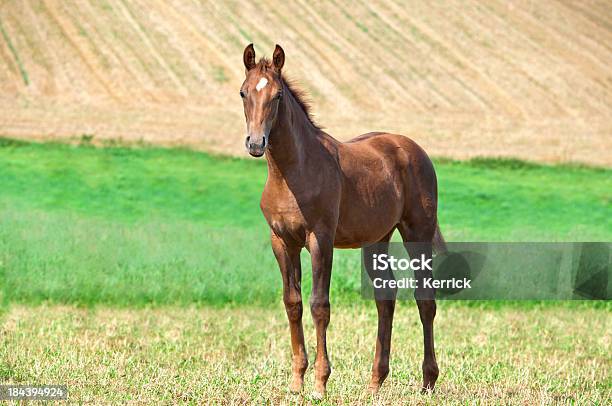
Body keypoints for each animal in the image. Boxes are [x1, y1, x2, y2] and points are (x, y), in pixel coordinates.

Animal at [239, 44, 444, 396]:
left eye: (277, 96)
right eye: (243, 93)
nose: (255, 143)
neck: (293, 171)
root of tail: (412, 149)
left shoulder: (320, 239)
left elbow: (319, 305)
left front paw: (320, 384)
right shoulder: (282, 241)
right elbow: (292, 303)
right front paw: (297, 382)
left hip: (417, 232)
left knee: (424, 300)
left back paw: (428, 381)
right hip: (376, 240)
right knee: (385, 298)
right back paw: (375, 383)